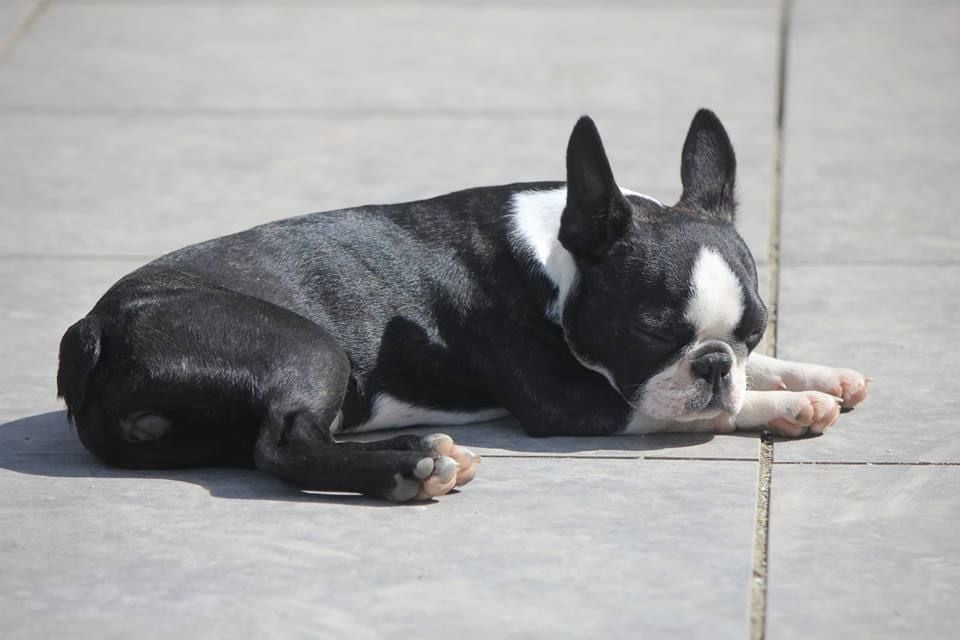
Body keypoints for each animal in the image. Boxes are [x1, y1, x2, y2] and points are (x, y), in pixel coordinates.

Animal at [58, 109, 872, 500]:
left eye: (753, 329)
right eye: (651, 333)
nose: (712, 366)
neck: (559, 259)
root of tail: (92, 331)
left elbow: (764, 371)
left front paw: (814, 375)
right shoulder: (575, 404)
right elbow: (686, 409)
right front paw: (787, 407)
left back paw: (417, 451)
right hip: (306, 345)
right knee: (281, 443)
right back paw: (409, 472)